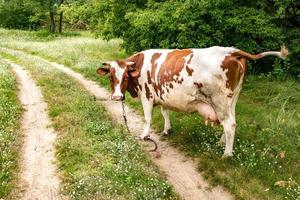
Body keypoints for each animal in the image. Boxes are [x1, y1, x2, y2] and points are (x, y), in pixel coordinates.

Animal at [96, 46, 288, 157]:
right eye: (111, 76)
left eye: (125, 76)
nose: (117, 97)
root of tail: (231, 51)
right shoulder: (162, 95)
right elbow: (165, 112)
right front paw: (167, 130)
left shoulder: (147, 96)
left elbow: (148, 118)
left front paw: (145, 135)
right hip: (232, 99)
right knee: (232, 121)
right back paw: (221, 143)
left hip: (219, 100)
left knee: (229, 124)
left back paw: (226, 154)